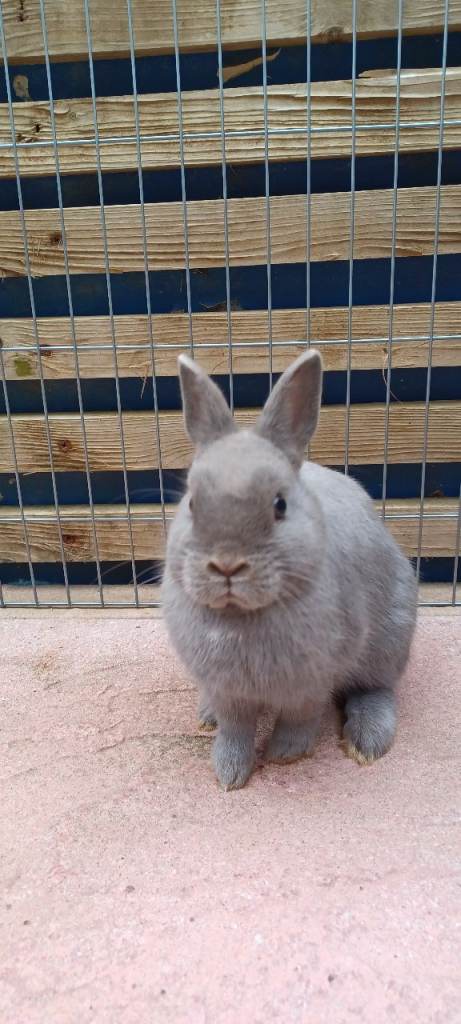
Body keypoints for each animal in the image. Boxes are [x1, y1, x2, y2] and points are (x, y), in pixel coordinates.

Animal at [161, 350, 417, 790]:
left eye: (280, 505)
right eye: (192, 502)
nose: (226, 564)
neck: (241, 618)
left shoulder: (312, 681)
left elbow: (301, 717)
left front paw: (285, 755)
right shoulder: (226, 688)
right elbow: (235, 727)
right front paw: (228, 773)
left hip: (391, 638)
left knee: (377, 688)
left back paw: (368, 741)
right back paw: (206, 716)